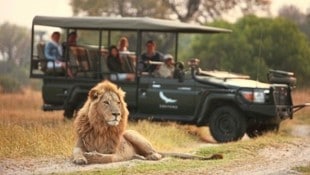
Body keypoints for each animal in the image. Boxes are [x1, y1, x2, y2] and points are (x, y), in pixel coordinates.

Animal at [72, 80, 223, 165]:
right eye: (106, 102)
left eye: (118, 102)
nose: (117, 114)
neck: (101, 127)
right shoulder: (80, 144)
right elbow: (76, 151)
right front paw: (81, 158)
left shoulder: (118, 153)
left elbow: (107, 158)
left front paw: (91, 156)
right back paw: (139, 156)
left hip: (132, 134)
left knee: (156, 153)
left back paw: (151, 156)